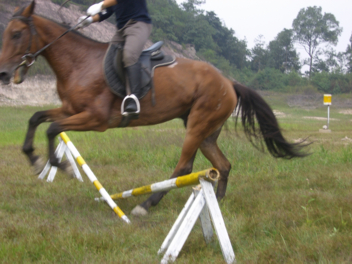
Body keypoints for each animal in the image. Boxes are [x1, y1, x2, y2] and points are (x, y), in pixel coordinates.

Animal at [0, 1, 308, 216]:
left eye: (16, 34)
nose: (3, 74)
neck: (79, 63)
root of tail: (228, 82)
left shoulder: (95, 119)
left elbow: (52, 128)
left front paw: (58, 164)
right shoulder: (70, 110)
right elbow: (37, 118)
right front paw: (34, 158)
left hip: (198, 124)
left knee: (185, 165)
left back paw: (147, 204)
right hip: (207, 131)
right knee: (222, 165)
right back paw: (216, 204)